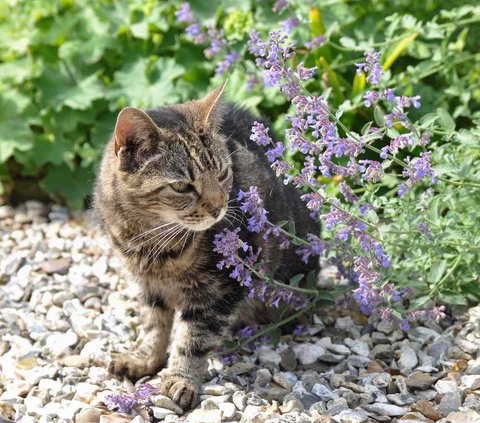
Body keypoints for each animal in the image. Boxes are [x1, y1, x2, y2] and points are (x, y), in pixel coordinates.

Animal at [93, 84, 318, 412]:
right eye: (182, 186)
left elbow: (193, 340)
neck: (152, 242)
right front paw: (145, 358)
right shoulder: (147, 285)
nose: (219, 207)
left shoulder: (220, 289)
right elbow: (154, 324)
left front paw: (180, 380)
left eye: (223, 173)